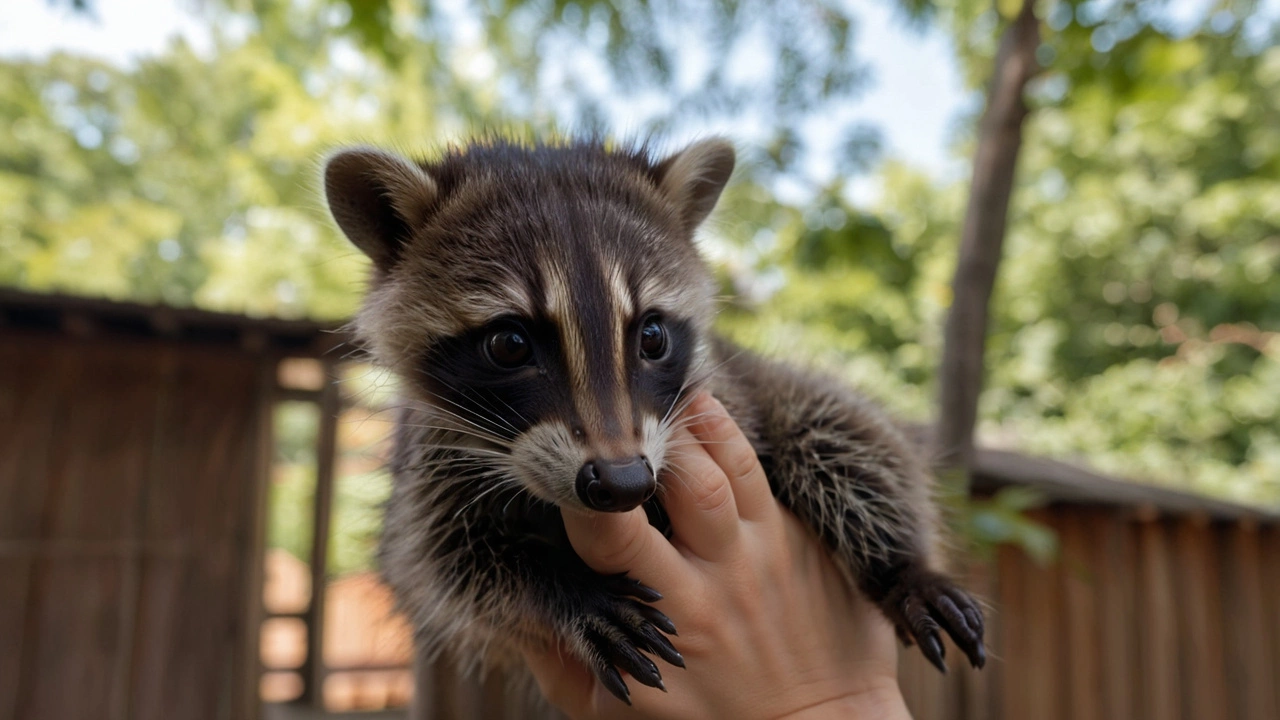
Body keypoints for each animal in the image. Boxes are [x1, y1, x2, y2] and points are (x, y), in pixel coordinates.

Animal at [325, 134, 983, 702]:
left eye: (653, 335)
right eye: (509, 344)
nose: (623, 482)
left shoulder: (734, 390)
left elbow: (845, 426)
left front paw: (902, 563)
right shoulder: (428, 467)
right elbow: (440, 567)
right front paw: (560, 589)